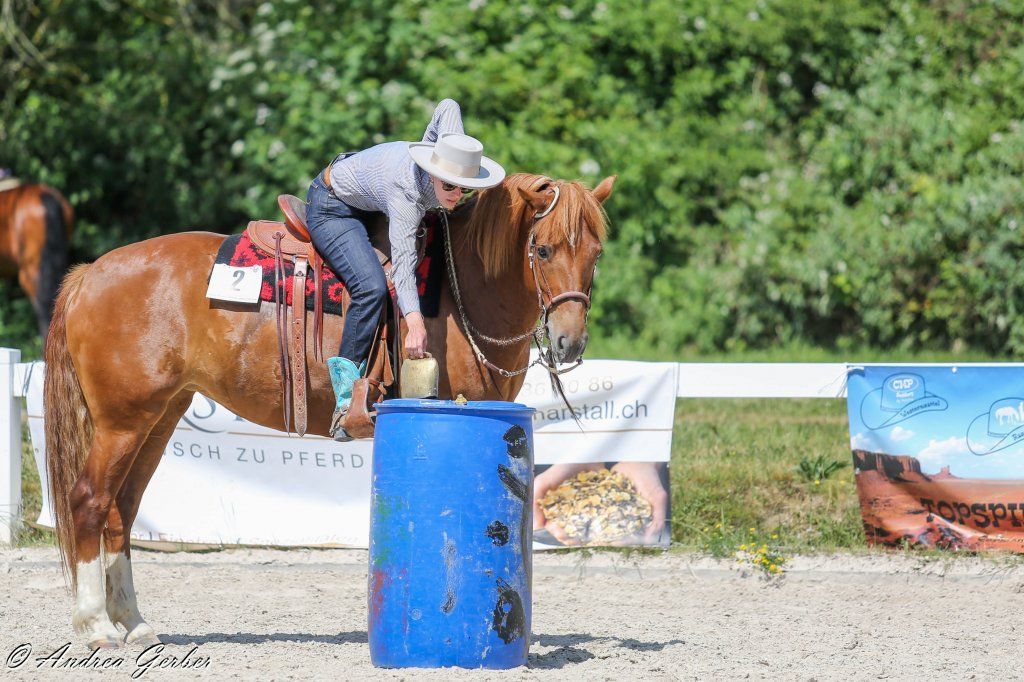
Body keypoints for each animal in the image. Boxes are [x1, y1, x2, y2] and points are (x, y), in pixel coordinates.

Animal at [43, 172, 614, 648]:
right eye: (542, 249)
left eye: (596, 252)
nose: (569, 342)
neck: (462, 291)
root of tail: (91, 273)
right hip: (122, 422)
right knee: (90, 501)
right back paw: (97, 627)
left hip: (158, 419)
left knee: (122, 510)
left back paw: (136, 625)